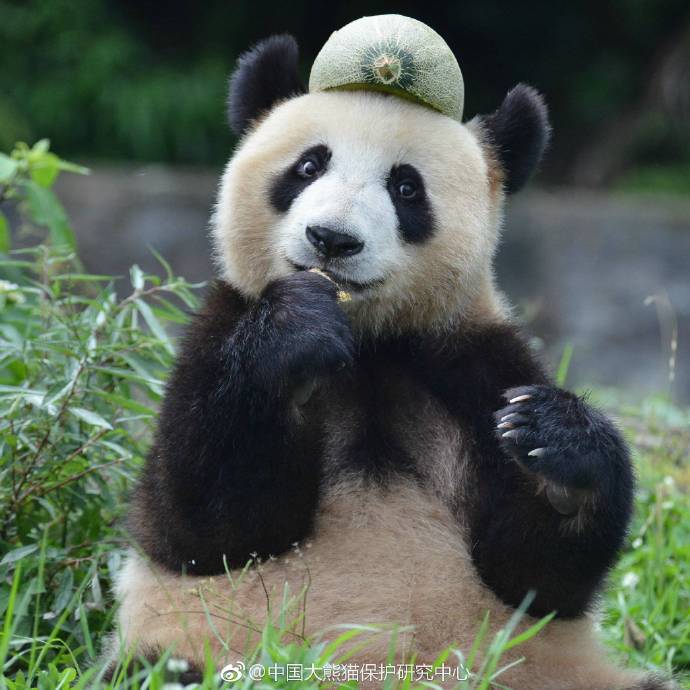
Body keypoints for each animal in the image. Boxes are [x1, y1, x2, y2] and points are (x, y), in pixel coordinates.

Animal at [111, 30, 678, 690]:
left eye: (406, 187)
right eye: (309, 165)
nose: (332, 240)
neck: (368, 342)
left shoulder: (470, 362)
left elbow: (537, 578)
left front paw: (555, 450)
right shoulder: (219, 325)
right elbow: (204, 524)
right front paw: (295, 332)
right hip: (196, 649)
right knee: (151, 669)